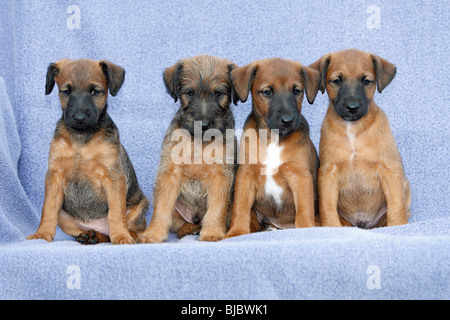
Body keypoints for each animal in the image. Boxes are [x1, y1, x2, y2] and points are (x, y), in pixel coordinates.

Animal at [27, 58, 149, 244]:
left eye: (95, 91)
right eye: (66, 91)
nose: (79, 118)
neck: (81, 139)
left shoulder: (113, 178)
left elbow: (116, 212)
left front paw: (121, 236)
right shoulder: (55, 176)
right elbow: (47, 209)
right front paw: (42, 234)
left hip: (140, 206)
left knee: (136, 229)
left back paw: (128, 235)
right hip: (64, 215)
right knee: (90, 232)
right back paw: (89, 236)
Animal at [140, 54, 239, 242]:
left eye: (219, 94)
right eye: (189, 93)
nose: (204, 124)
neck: (198, 142)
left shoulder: (220, 176)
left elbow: (216, 209)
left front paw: (212, 232)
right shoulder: (170, 174)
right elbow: (162, 209)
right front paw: (153, 234)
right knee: (179, 222)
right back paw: (188, 229)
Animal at [225, 57, 320, 239]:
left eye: (297, 91)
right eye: (267, 92)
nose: (288, 121)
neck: (274, 139)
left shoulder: (300, 176)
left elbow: (304, 209)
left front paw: (306, 230)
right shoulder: (245, 175)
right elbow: (240, 208)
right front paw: (236, 231)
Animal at [310, 48, 412, 228]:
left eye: (366, 81)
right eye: (337, 81)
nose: (352, 107)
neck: (353, 129)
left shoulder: (389, 169)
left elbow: (396, 205)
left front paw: (399, 226)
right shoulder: (328, 173)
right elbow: (327, 208)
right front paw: (332, 227)